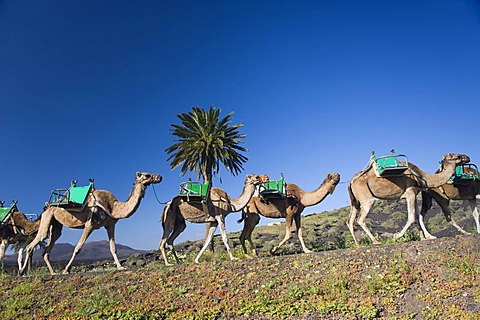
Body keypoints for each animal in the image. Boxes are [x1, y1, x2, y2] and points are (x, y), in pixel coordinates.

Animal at [19, 172, 161, 276]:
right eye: (147, 175)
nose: (160, 177)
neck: (113, 207)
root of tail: (46, 207)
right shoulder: (90, 224)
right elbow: (78, 248)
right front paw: (66, 270)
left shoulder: (110, 225)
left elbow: (113, 248)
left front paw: (121, 267)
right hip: (47, 219)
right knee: (33, 244)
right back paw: (22, 272)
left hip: (56, 225)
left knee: (47, 247)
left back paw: (53, 272)